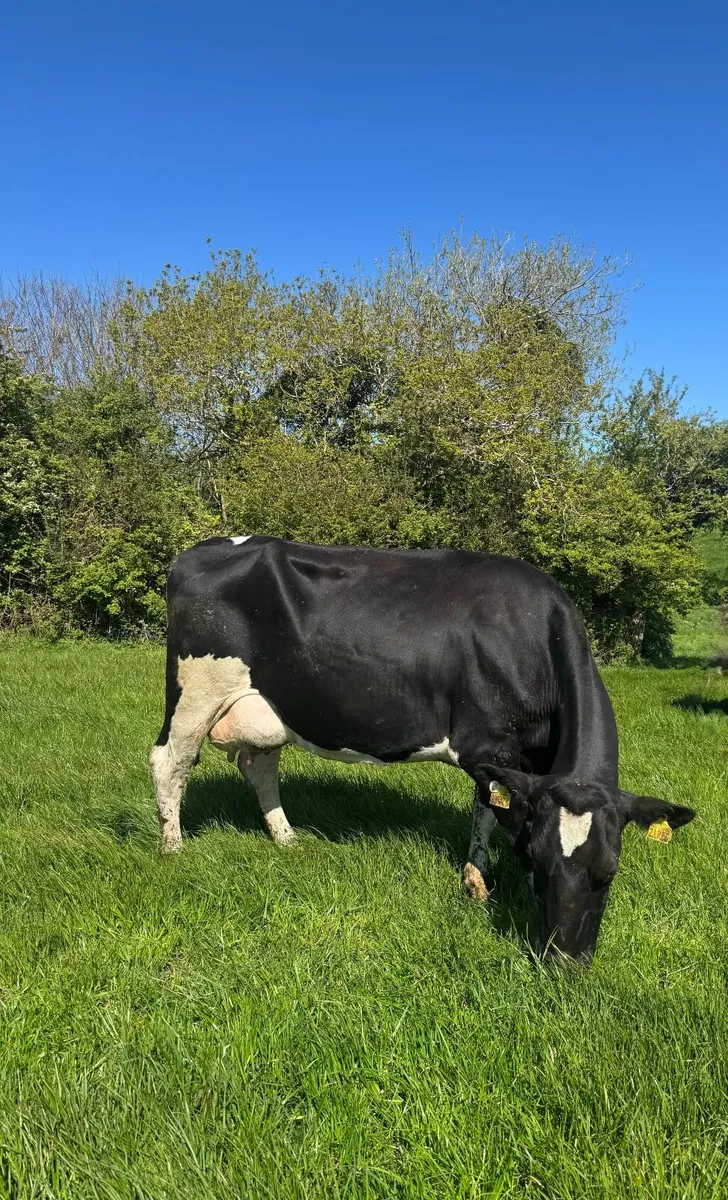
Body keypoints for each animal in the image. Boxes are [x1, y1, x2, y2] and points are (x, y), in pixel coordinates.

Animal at [150, 534, 695, 960]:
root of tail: (198, 550)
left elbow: (489, 808)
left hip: (268, 706)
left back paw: (286, 839)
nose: (564, 960)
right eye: (540, 861)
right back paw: (172, 847)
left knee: (258, 765)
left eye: (609, 870)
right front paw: (481, 884)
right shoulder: (488, 747)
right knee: (170, 761)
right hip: (195, 692)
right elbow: (497, 813)